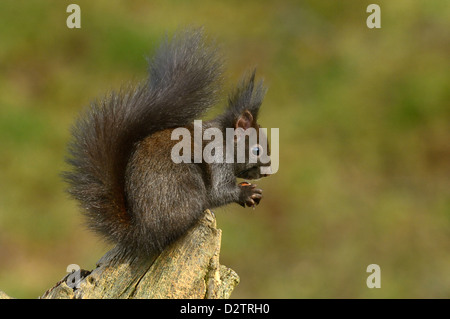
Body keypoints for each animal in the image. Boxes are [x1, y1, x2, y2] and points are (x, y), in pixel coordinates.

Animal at [63, 28, 270, 256]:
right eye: (257, 150)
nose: (267, 172)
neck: (225, 139)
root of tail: (144, 233)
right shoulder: (218, 159)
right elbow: (218, 193)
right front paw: (246, 193)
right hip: (184, 187)